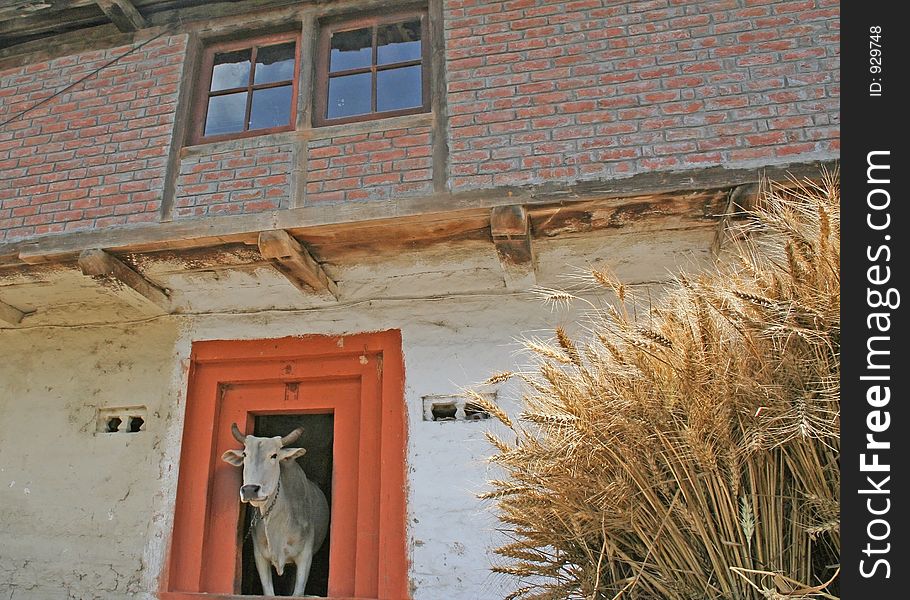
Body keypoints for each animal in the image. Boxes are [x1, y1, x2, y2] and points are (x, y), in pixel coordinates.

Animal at [222, 422, 332, 596]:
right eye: (245, 454)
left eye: (274, 455)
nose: (249, 490)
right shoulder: (260, 556)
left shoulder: (305, 556)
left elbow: (297, 593)